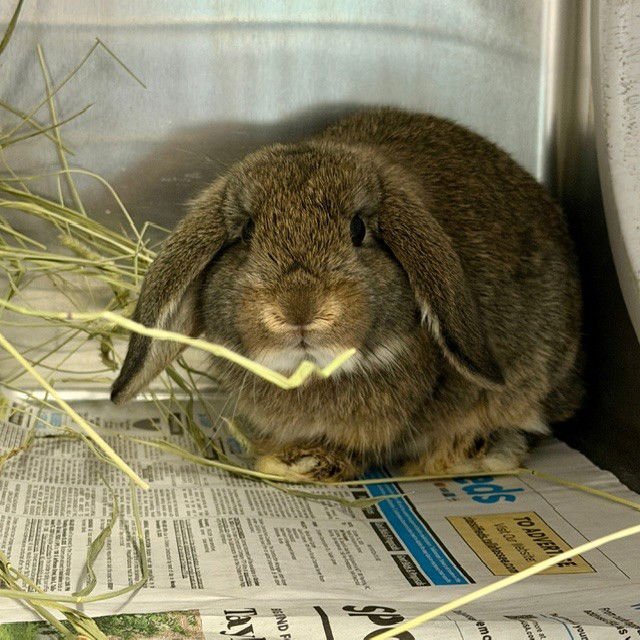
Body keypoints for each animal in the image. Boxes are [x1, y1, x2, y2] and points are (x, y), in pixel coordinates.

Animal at [111, 107, 582, 481]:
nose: (299, 310)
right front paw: (287, 461)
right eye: (245, 232)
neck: (310, 373)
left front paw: (303, 464)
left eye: (358, 230)